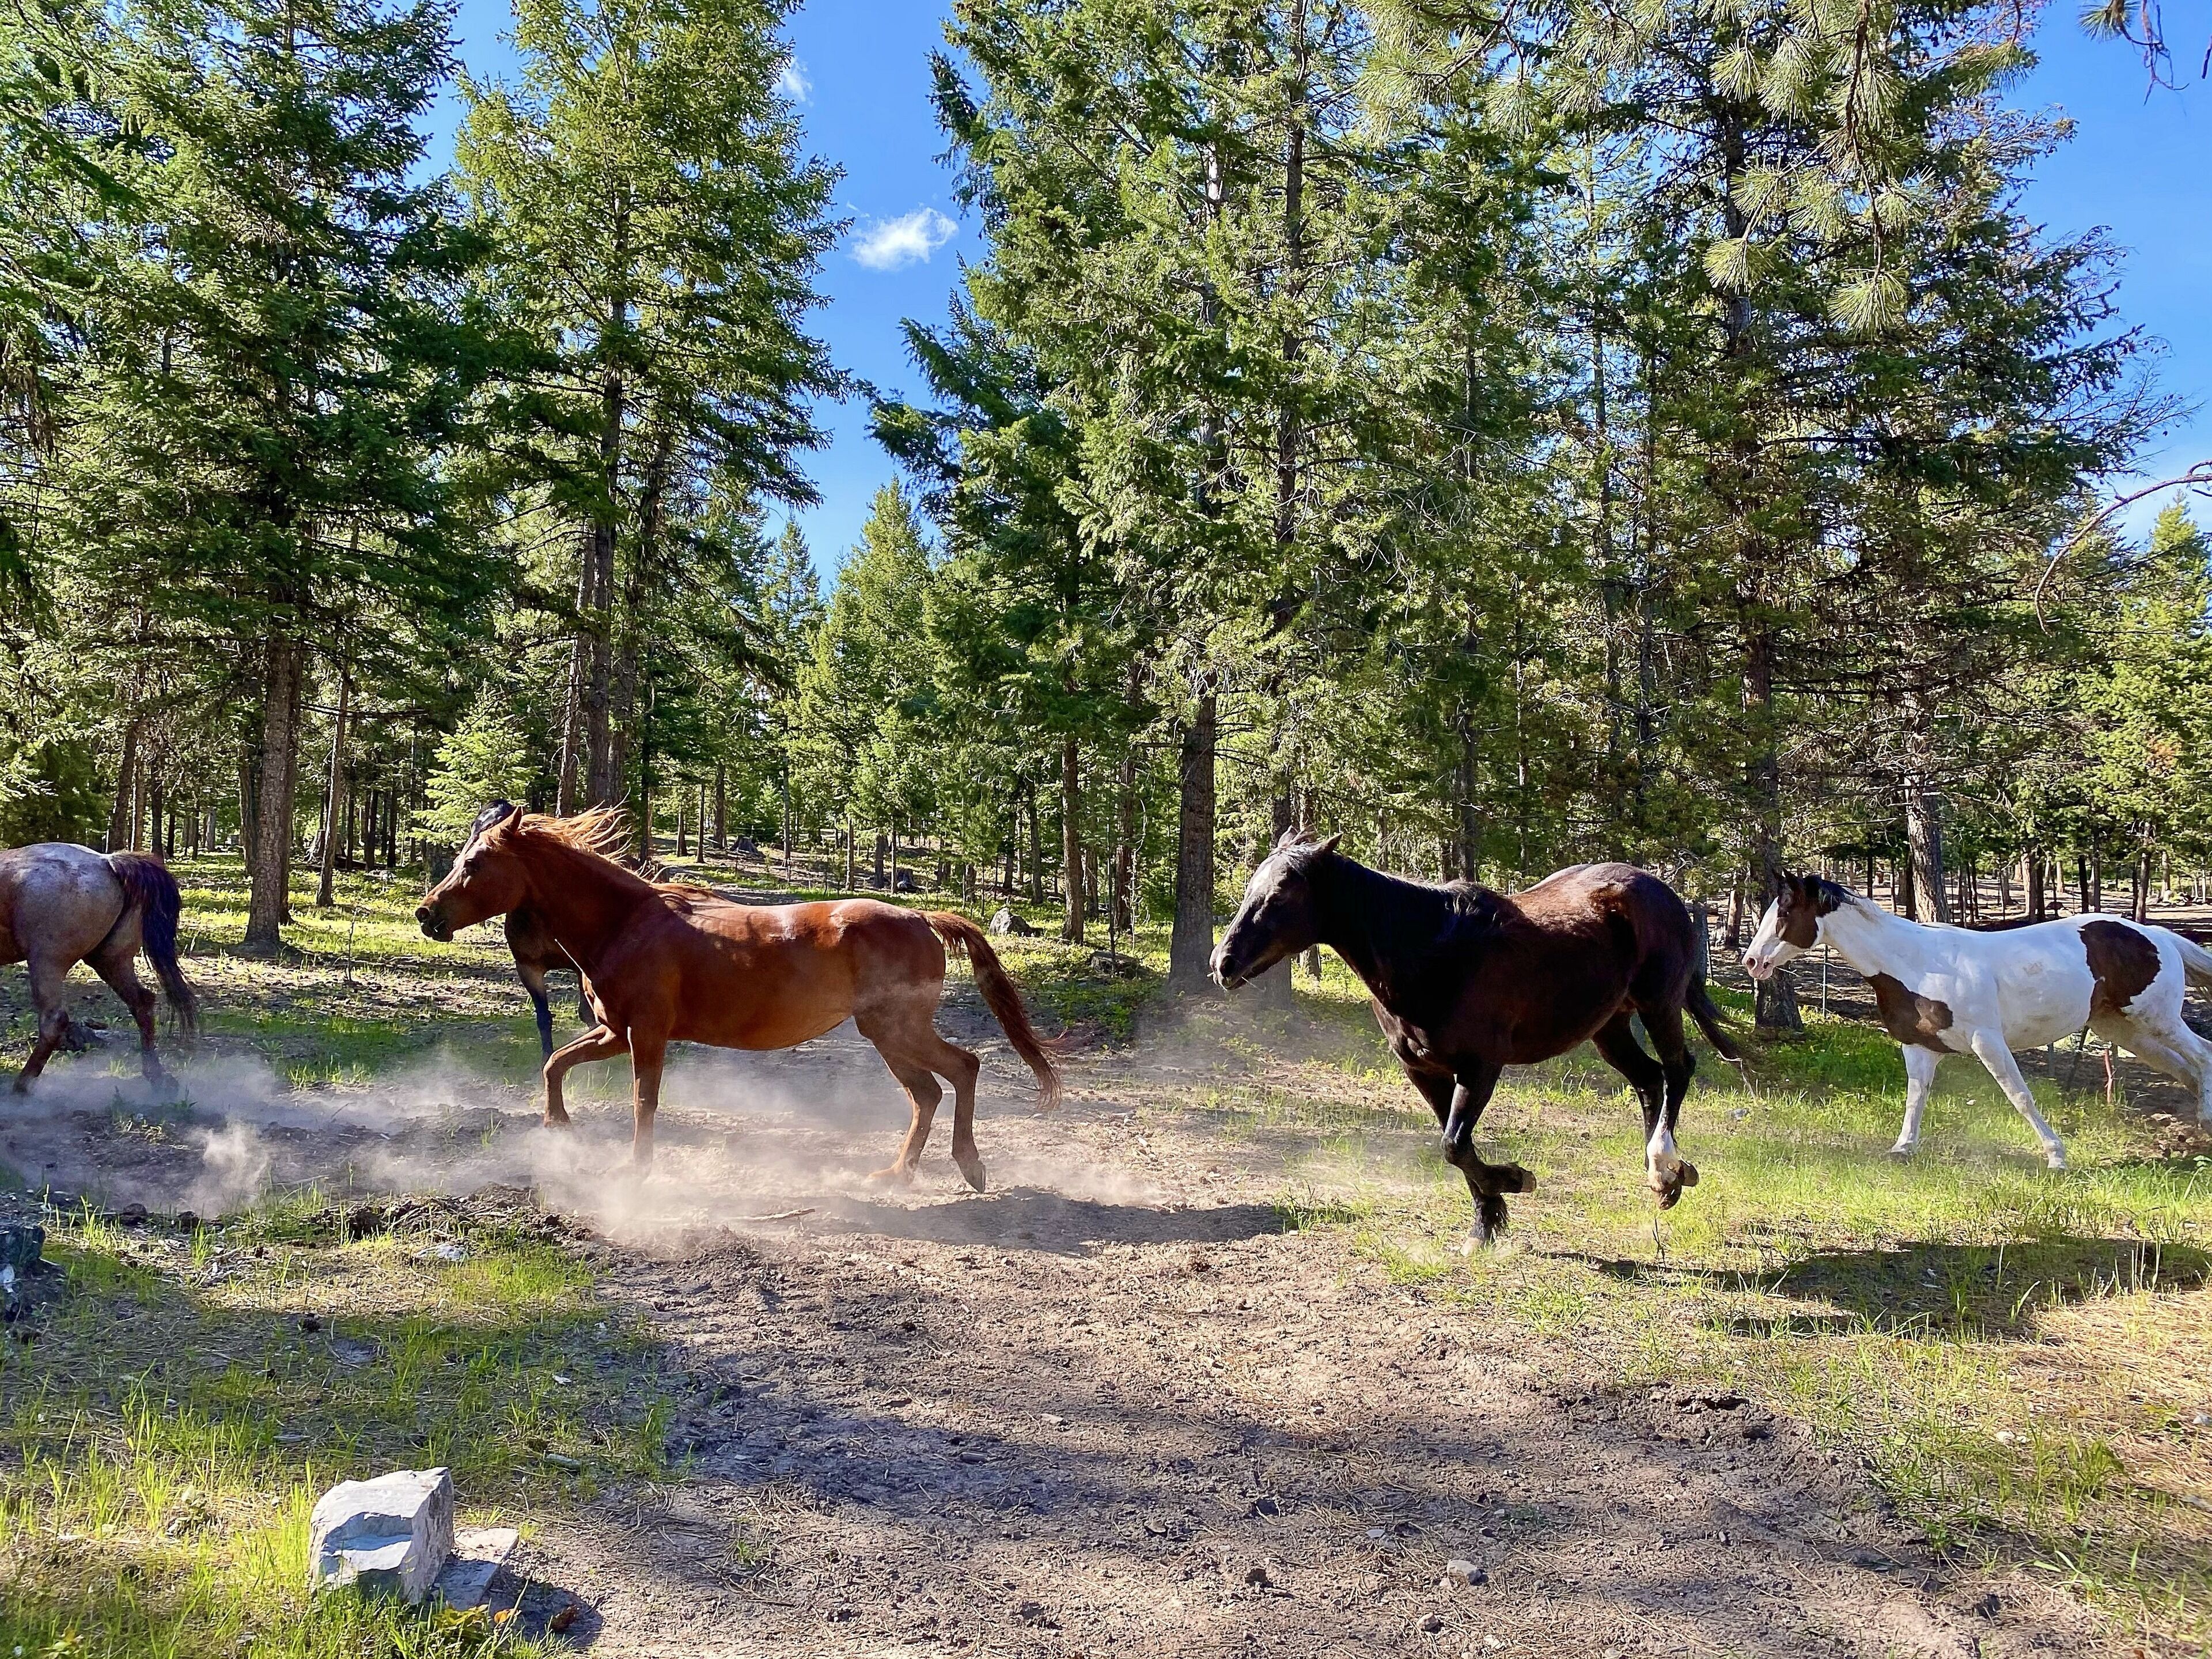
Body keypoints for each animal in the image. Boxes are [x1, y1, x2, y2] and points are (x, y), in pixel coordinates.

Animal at [0, 843, 196, 1091]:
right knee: (142, 1003)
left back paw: (21, 1088)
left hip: (47, 962)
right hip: (111, 961)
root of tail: (107, 862)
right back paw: (158, 1078)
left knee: (54, 1022)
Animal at [414, 803, 1060, 1185]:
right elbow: (556, 1064)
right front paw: (558, 1127)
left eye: (475, 864)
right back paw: (896, 1173)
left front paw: (637, 1172)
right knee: (928, 1093)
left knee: (963, 1069)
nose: (426, 914)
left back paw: (969, 1166)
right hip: (887, 1035)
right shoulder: (618, 1031)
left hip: (897, 1028)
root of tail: (922, 917)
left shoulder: (646, 1035)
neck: (625, 923)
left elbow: (644, 1102)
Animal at [1211, 832, 1740, 1239]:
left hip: (1658, 1005)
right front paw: (1487, 1222)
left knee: (1678, 1069)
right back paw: (1664, 1181)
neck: (1431, 953)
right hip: (1609, 1027)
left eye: (1281, 895)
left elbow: (1455, 1144)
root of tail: (1664, 892)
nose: (1223, 963)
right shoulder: (1423, 1071)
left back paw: (1666, 1164)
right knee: (1649, 1079)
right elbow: (1454, 1145)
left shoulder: (1481, 1067)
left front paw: (1514, 1181)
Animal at [1744, 872, 2212, 1167]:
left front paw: (2056, 1156)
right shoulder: (1918, 1048)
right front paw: (1902, 1149)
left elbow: (2020, 1096)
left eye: (1783, 914)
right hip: (2125, 1030)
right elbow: (1915, 1099)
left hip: (2157, 1021)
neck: (1918, 964)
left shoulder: (1988, 1042)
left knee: (2203, 1056)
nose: (1752, 963)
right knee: (2189, 1071)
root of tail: (2157, 935)